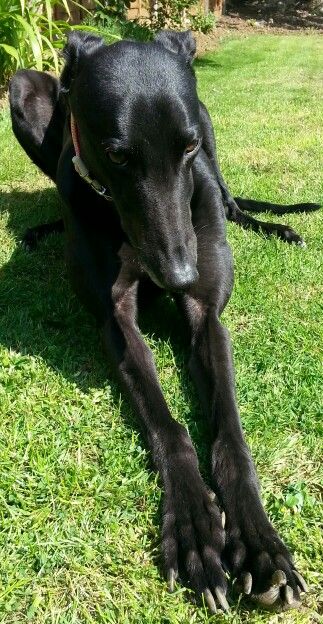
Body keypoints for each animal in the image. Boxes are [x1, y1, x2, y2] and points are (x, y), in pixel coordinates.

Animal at [8, 30, 312, 616]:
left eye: (186, 148)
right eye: (117, 154)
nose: (179, 274)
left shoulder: (206, 316)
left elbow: (230, 433)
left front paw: (261, 544)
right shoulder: (116, 323)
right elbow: (170, 427)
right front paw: (195, 527)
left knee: (233, 204)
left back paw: (275, 226)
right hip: (23, 85)